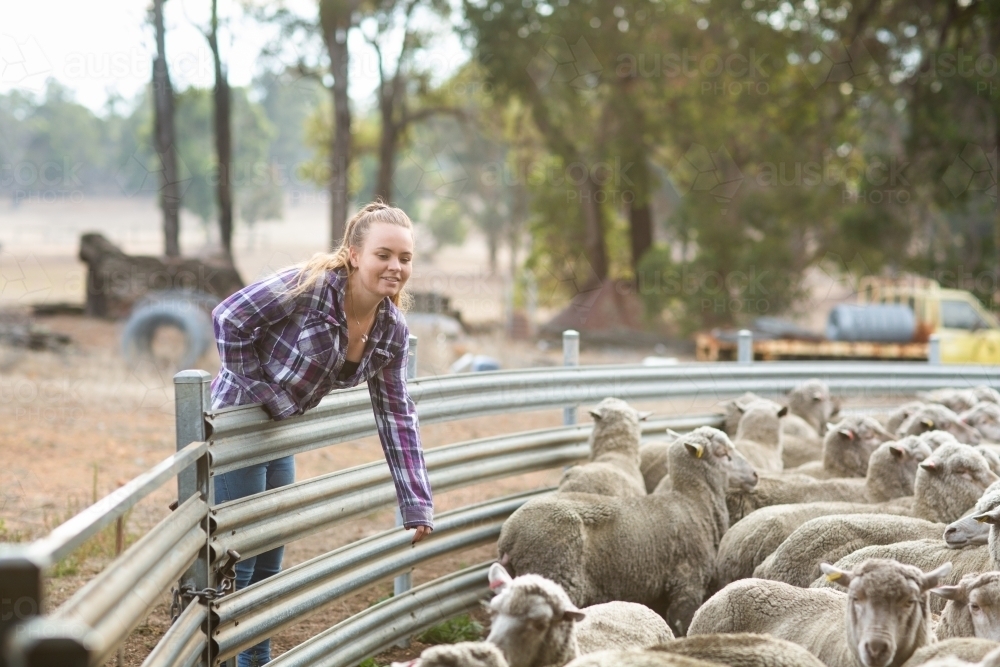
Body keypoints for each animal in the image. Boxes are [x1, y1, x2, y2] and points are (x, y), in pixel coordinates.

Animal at [492, 428, 756, 636]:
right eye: (723, 453)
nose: (755, 475)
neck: (694, 503)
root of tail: (509, 535)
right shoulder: (687, 583)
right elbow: (682, 625)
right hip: (555, 572)